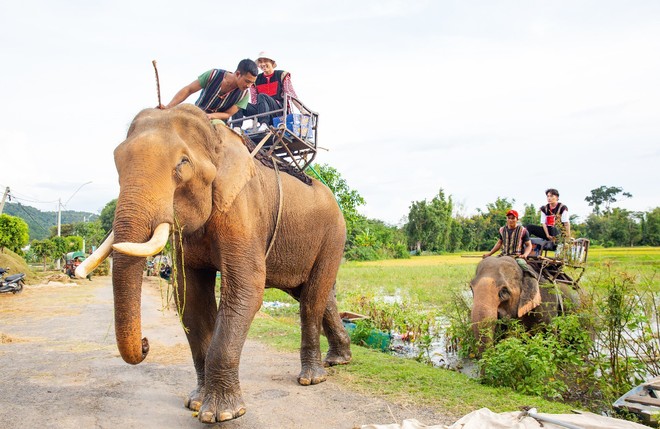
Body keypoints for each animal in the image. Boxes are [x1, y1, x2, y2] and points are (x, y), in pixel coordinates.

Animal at [76, 103, 350, 422]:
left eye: (182, 163)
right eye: (117, 162)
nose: (145, 344)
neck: (218, 140)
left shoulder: (242, 208)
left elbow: (246, 288)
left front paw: (221, 414)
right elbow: (190, 296)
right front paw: (195, 403)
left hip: (333, 236)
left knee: (311, 300)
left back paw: (311, 378)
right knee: (317, 294)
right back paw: (339, 360)